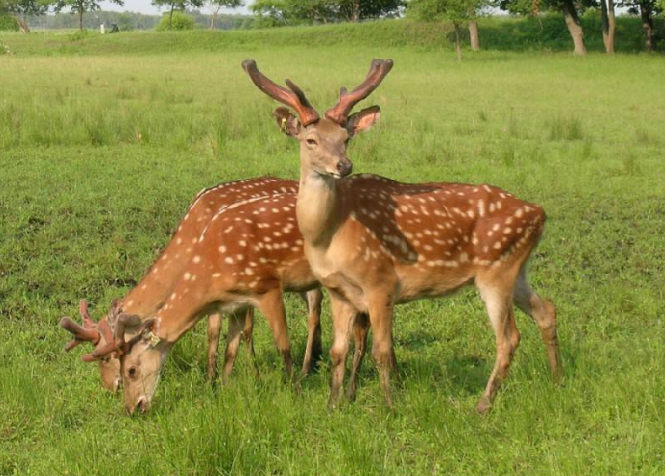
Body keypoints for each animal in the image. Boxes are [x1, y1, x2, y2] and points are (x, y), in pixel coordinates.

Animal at [59, 177, 324, 392]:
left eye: (106, 357)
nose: (110, 388)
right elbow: (218, 332)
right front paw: (212, 380)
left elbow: (241, 330)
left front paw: (252, 376)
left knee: (315, 307)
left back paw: (306, 368)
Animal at [241, 59, 564, 410]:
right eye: (310, 140)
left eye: (345, 138)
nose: (344, 165)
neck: (329, 235)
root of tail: (539, 213)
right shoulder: (339, 291)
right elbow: (339, 352)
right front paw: (333, 404)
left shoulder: (380, 282)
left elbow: (382, 351)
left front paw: (389, 405)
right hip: (517, 269)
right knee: (547, 310)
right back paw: (556, 378)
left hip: (497, 270)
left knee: (509, 337)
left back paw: (482, 405)